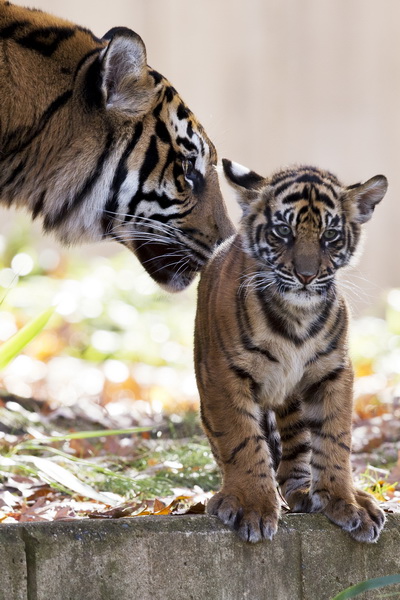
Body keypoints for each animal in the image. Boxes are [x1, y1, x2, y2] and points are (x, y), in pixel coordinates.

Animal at [195, 159, 390, 544]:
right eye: (283, 231)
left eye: (330, 236)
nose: (306, 276)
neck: (297, 316)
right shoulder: (224, 375)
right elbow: (242, 440)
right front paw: (252, 505)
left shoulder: (333, 372)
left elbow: (334, 439)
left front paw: (345, 501)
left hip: (292, 401)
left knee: (298, 451)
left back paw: (309, 492)